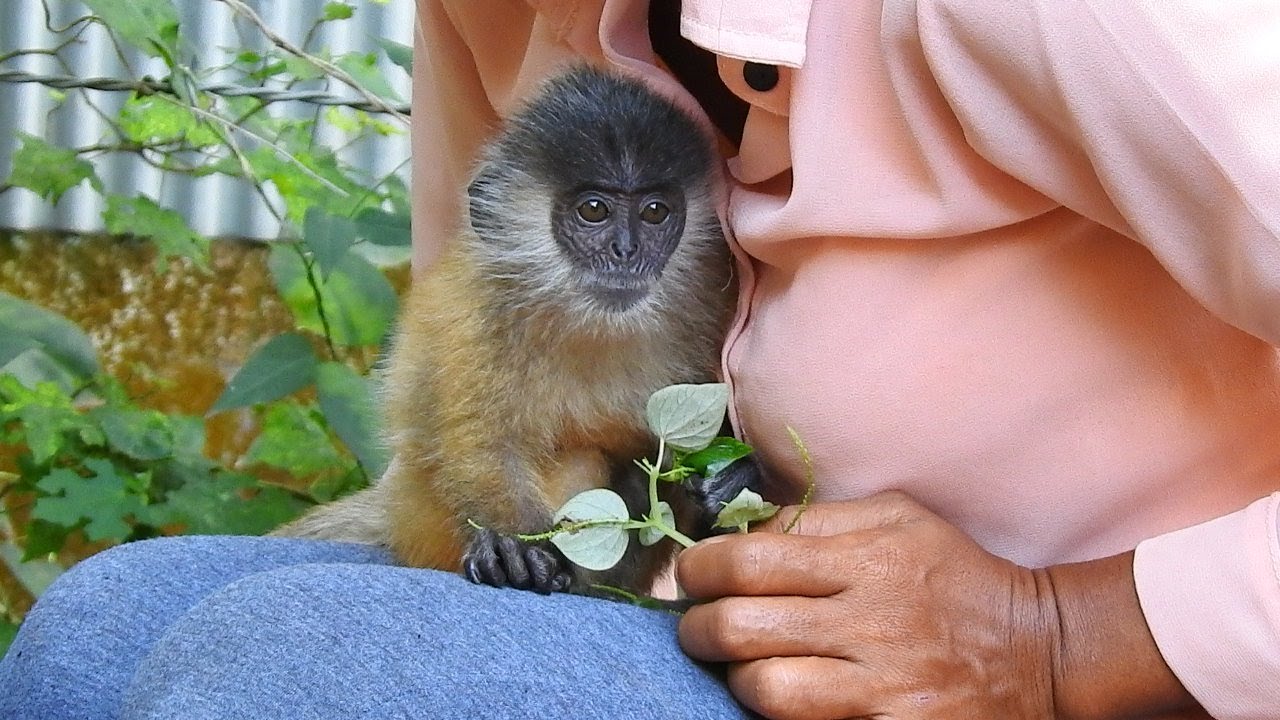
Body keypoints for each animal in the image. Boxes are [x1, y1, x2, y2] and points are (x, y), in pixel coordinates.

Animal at [275, 65, 762, 597]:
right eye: (594, 210)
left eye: (655, 212)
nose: (626, 251)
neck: (590, 320)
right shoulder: (475, 314)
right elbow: (481, 444)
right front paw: (514, 545)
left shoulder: (707, 313)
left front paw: (733, 482)